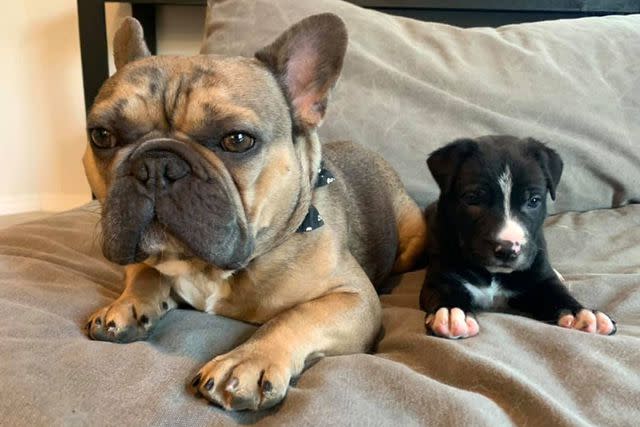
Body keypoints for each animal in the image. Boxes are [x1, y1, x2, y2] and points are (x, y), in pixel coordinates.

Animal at [420, 135, 616, 340]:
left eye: (534, 201)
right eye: (472, 198)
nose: (507, 250)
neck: (493, 274)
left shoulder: (540, 277)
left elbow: (557, 293)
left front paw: (583, 314)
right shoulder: (441, 276)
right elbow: (445, 291)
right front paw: (452, 313)